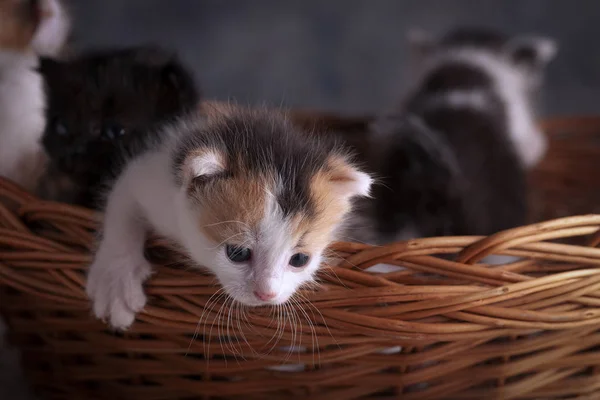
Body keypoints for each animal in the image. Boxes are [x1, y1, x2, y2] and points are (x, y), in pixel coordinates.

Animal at [86, 104, 372, 332]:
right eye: (237, 253)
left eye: (300, 260)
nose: (266, 294)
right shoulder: (155, 184)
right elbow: (124, 197)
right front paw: (116, 279)